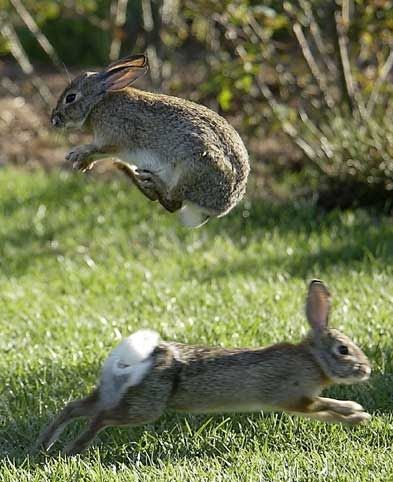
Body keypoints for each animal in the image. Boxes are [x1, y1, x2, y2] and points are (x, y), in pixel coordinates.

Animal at [37, 280, 370, 454]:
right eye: (343, 350)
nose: (366, 370)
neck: (313, 359)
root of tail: (139, 358)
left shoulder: (299, 404)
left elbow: (326, 413)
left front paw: (357, 418)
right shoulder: (293, 397)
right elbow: (327, 404)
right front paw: (356, 410)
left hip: (115, 392)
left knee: (74, 407)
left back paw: (47, 444)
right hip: (145, 407)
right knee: (100, 418)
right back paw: (72, 450)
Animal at [51, 54, 248, 228]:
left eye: (70, 97)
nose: (54, 120)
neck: (97, 103)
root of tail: (221, 207)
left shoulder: (114, 137)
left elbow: (99, 149)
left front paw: (77, 154)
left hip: (193, 169)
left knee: (173, 202)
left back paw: (147, 179)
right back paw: (132, 173)